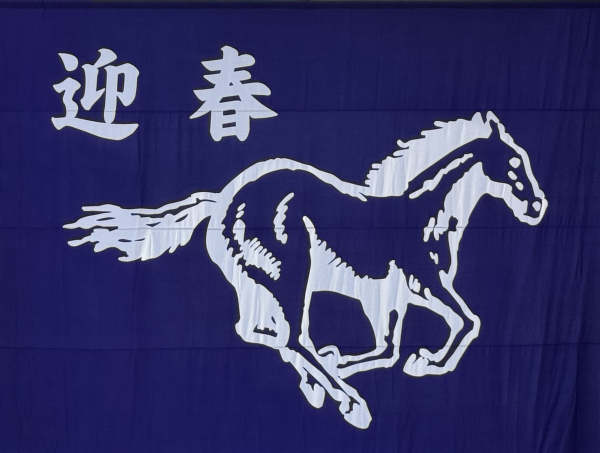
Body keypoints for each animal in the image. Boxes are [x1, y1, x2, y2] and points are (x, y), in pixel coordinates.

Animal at [64, 112, 548, 429]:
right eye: (513, 163)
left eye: (525, 159)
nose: (538, 205)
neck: (426, 217)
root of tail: (222, 200)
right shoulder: (423, 283)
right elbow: (466, 322)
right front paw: (428, 362)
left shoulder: (387, 297)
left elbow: (387, 348)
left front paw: (347, 364)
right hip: (290, 275)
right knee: (291, 336)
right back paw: (350, 403)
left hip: (258, 283)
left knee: (264, 333)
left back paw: (321, 384)